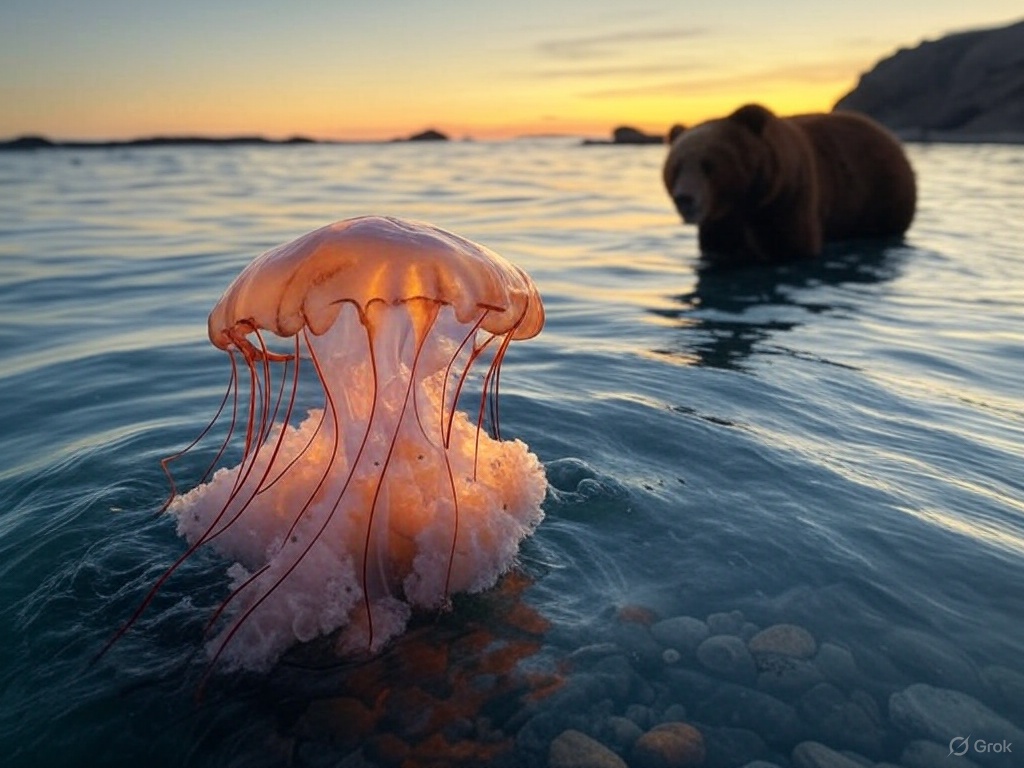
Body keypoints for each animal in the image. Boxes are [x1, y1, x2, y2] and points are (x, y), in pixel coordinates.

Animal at [663, 103, 916, 264]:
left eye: (709, 165)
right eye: (676, 167)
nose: (684, 198)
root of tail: (889, 136)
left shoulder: (789, 200)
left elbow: (791, 246)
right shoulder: (720, 222)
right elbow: (717, 246)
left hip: (879, 197)